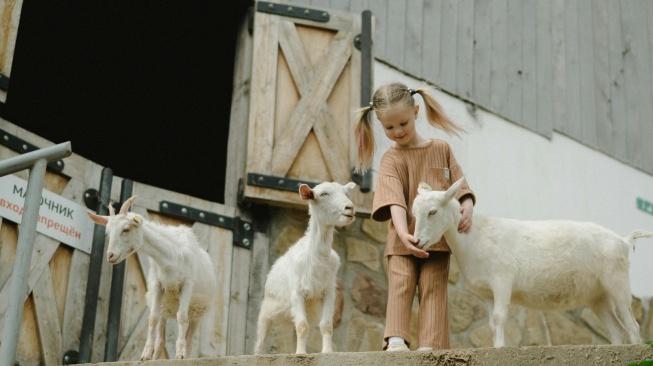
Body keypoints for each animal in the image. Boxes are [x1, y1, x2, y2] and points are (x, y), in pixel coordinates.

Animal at [86, 196, 216, 358]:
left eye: (126, 229)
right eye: (107, 233)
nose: (110, 255)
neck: (171, 256)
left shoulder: (187, 285)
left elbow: (181, 317)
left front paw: (179, 354)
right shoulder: (158, 286)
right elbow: (152, 318)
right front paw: (145, 355)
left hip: (198, 309)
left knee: (190, 339)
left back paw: (185, 355)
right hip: (166, 307)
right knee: (161, 339)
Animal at [255, 182, 356, 354]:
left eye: (346, 193)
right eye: (323, 194)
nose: (349, 208)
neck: (317, 258)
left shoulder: (329, 291)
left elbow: (326, 325)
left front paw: (327, 351)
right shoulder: (297, 292)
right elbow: (303, 326)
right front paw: (301, 354)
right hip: (266, 309)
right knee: (260, 341)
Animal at [410, 179, 648, 348]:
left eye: (433, 211)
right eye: (414, 212)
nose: (417, 241)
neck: (474, 238)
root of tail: (624, 241)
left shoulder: (502, 280)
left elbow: (500, 317)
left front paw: (499, 348)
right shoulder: (486, 292)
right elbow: (491, 324)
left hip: (617, 281)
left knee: (633, 324)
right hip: (598, 294)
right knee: (616, 329)